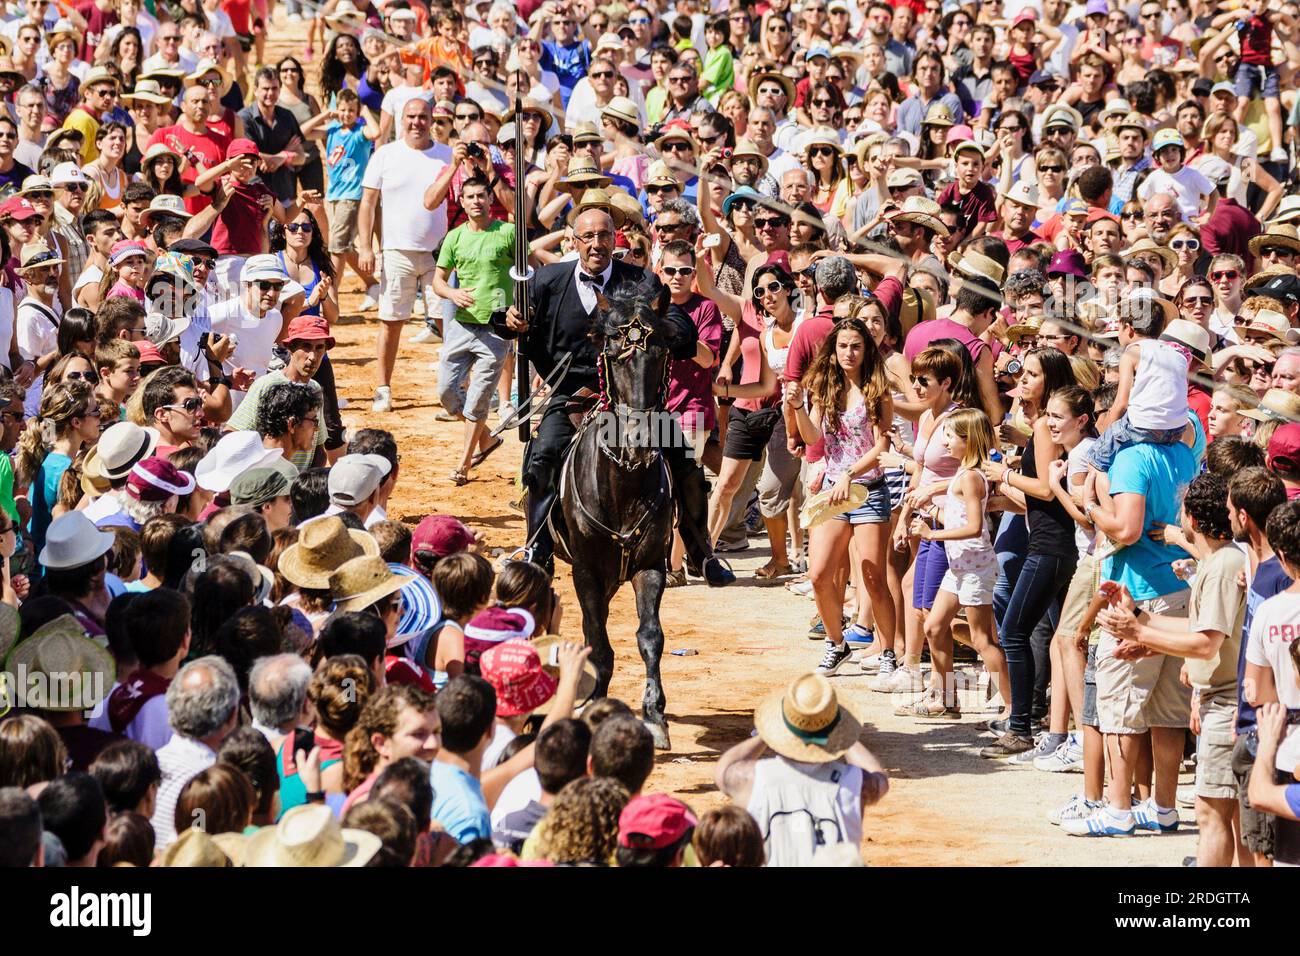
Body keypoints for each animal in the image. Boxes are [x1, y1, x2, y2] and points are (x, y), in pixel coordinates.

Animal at [551, 287, 686, 749]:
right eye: (614, 355)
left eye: (661, 353)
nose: (638, 443)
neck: (624, 483)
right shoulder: (586, 572)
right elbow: (598, 639)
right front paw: (594, 703)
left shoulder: (650, 566)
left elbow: (650, 637)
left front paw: (655, 715)